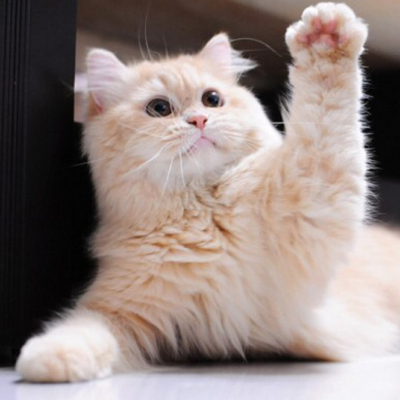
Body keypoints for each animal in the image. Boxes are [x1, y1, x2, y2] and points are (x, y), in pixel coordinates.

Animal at [16, 2, 400, 382]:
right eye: (159, 108)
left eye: (212, 99)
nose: (199, 121)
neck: (202, 214)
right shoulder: (121, 309)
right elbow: (81, 330)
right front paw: (49, 359)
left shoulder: (312, 195)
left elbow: (324, 108)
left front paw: (325, 33)